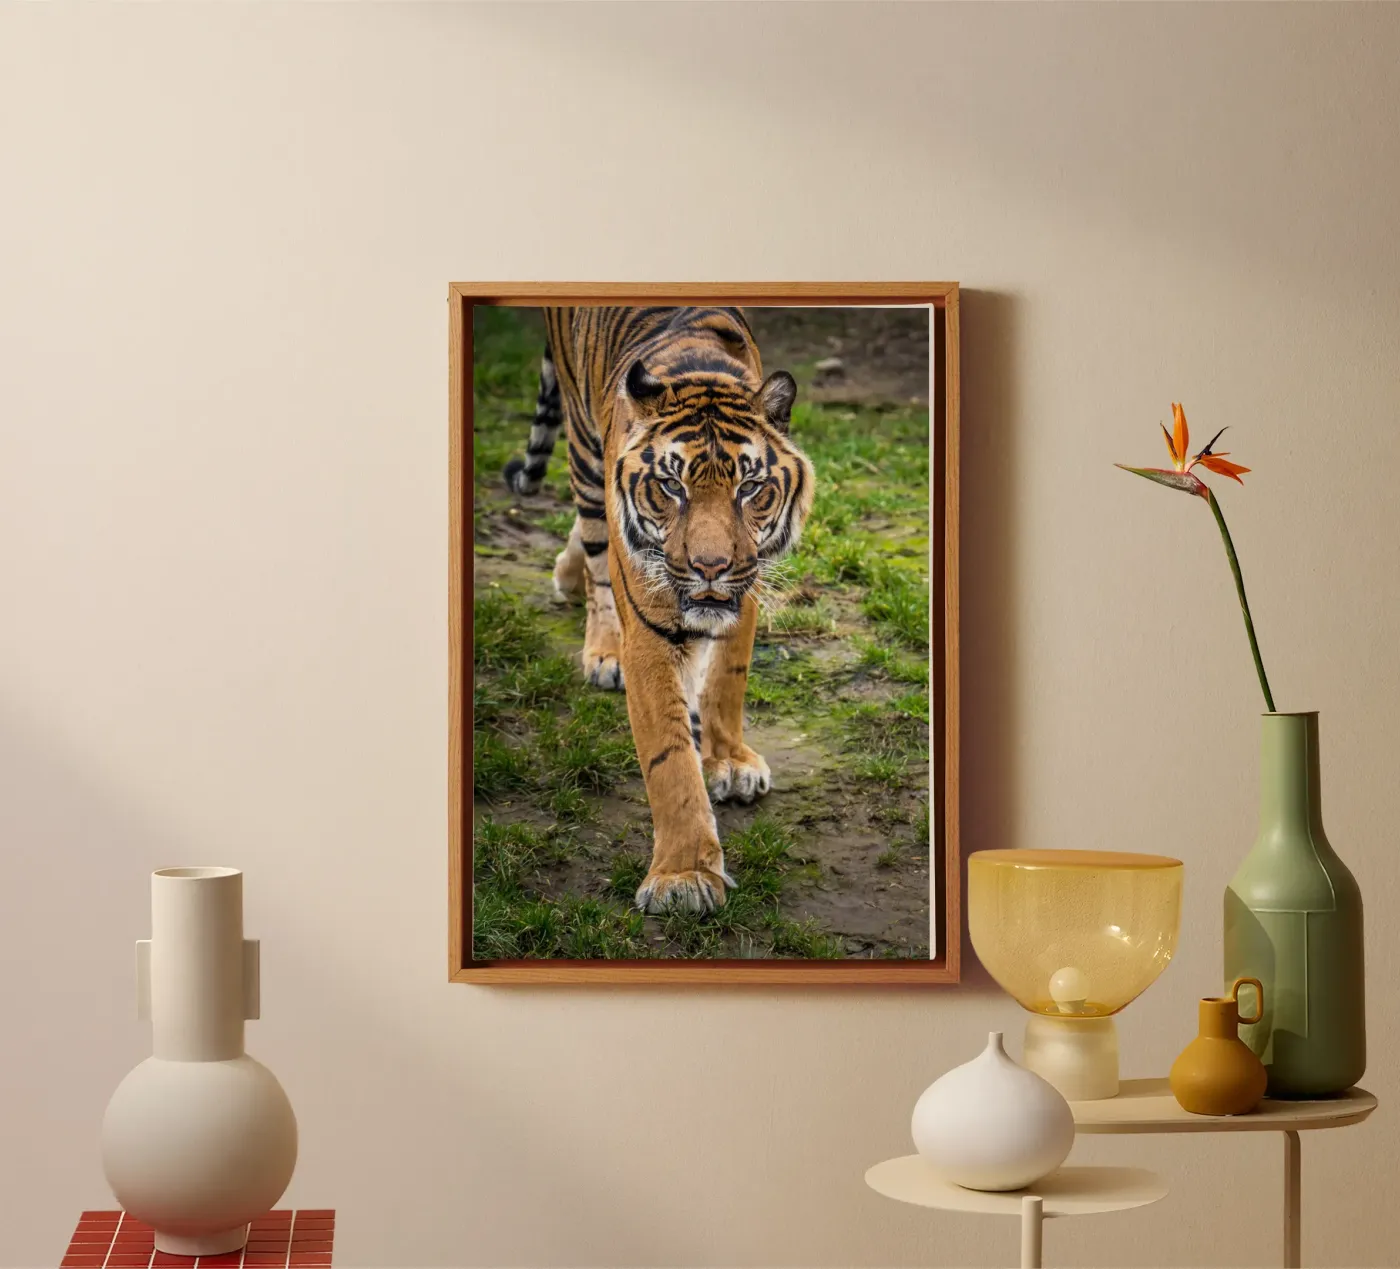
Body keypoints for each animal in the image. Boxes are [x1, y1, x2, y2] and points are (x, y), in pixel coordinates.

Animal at [501, 307, 815, 915]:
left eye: (750, 488)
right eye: (671, 485)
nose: (711, 567)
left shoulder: (745, 591)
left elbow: (726, 682)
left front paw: (729, 760)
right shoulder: (648, 630)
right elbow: (669, 761)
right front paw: (684, 875)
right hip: (583, 457)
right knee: (597, 562)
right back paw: (600, 643)